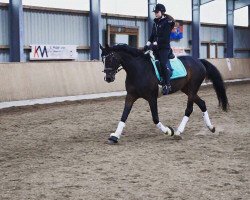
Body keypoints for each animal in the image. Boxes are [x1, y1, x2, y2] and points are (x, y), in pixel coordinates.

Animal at [99, 43, 229, 144]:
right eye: (103, 59)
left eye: (112, 58)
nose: (108, 78)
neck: (138, 70)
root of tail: (198, 61)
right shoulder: (130, 96)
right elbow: (124, 116)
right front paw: (115, 136)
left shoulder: (152, 97)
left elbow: (155, 119)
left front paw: (169, 131)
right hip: (186, 89)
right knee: (202, 103)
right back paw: (211, 127)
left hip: (192, 89)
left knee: (189, 109)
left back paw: (177, 132)